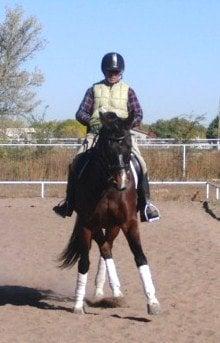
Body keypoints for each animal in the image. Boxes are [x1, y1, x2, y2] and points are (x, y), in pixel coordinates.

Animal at [58, 113, 160, 318]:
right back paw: (106, 292)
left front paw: (152, 302)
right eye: (107, 146)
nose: (121, 181)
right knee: (104, 249)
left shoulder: (128, 223)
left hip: (114, 226)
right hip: (97, 225)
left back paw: (112, 292)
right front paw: (78, 305)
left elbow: (140, 257)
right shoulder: (87, 224)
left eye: (128, 144)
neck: (107, 187)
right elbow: (84, 262)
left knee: (107, 248)